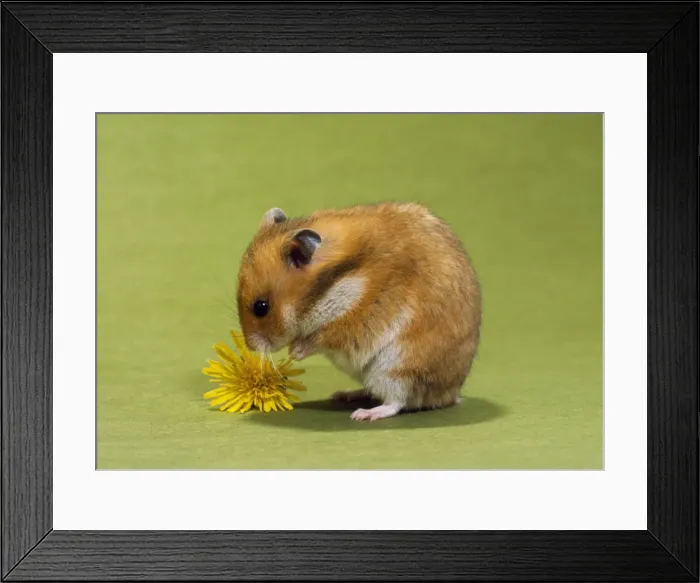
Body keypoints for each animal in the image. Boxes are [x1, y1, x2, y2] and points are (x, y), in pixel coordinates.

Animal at [236, 202, 482, 421]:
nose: (251, 346)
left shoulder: (355, 319)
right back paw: (344, 395)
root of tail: (450, 394)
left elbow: (319, 338)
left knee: (397, 402)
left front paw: (293, 353)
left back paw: (363, 414)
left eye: (261, 307)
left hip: (399, 367)